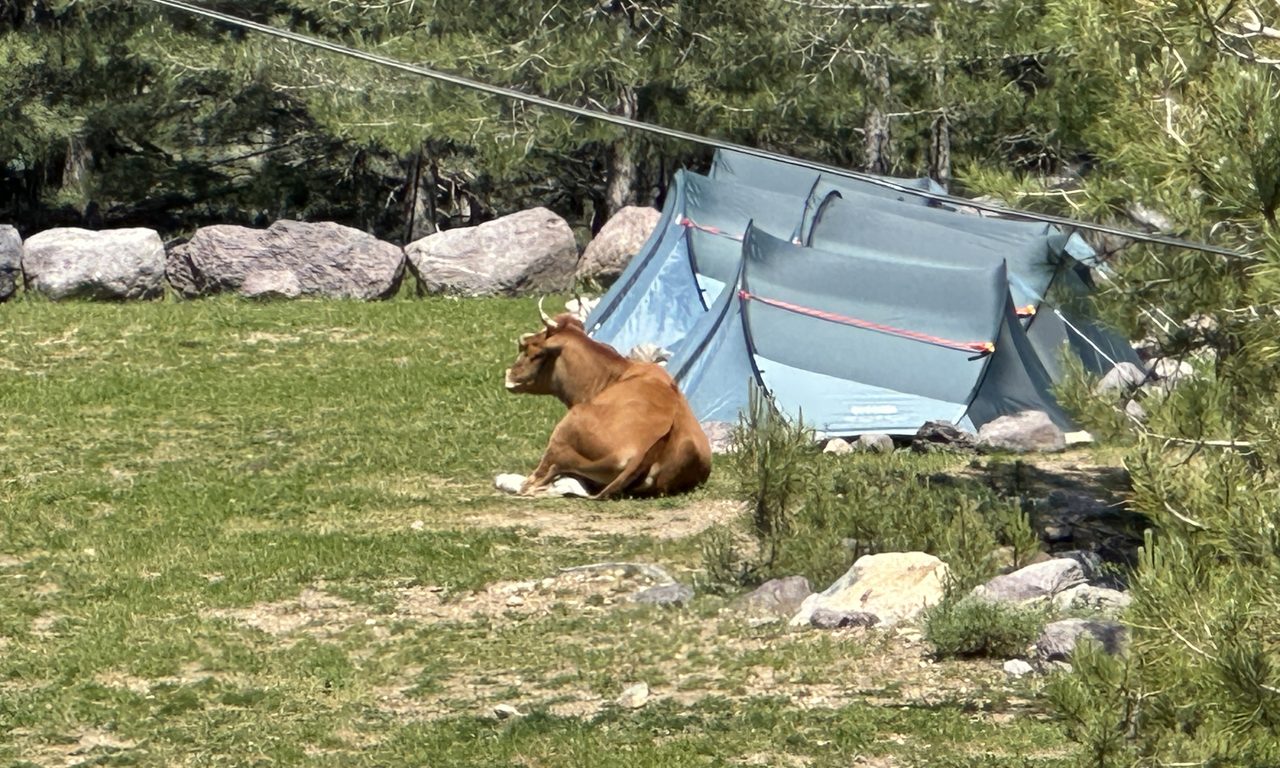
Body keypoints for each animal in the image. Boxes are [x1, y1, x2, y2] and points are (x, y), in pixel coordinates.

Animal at [504, 301, 712, 499]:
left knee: (537, 478)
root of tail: (643, 449)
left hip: (564, 432)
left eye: (534, 350)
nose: (509, 376)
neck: (616, 374)